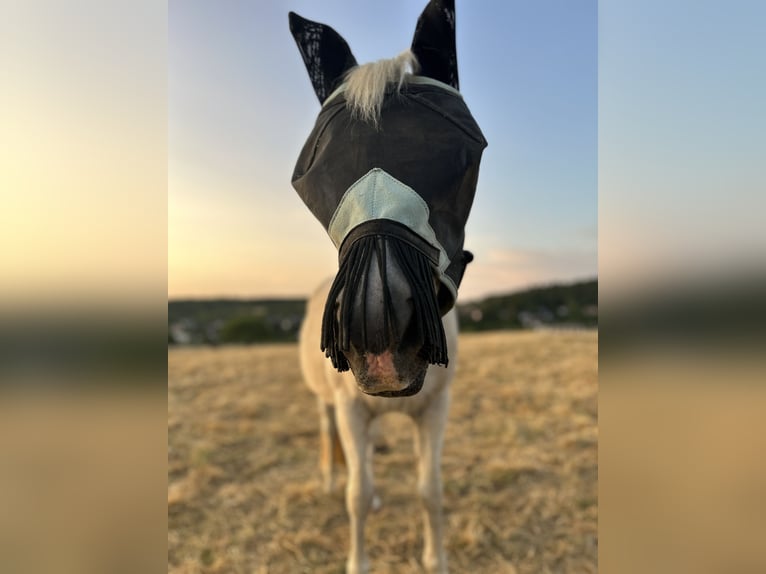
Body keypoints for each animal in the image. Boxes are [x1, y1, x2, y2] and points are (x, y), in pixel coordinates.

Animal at [288, 2, 486, 572]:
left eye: (463, 155)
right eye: (310, 177)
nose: (379, 338)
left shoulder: (435, 410)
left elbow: (430, 491)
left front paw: (435, 559)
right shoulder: (352, 407)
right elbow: (357, 495)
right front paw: (358, 560)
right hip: (329, 404)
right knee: (332, 441)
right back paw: (330, 479)